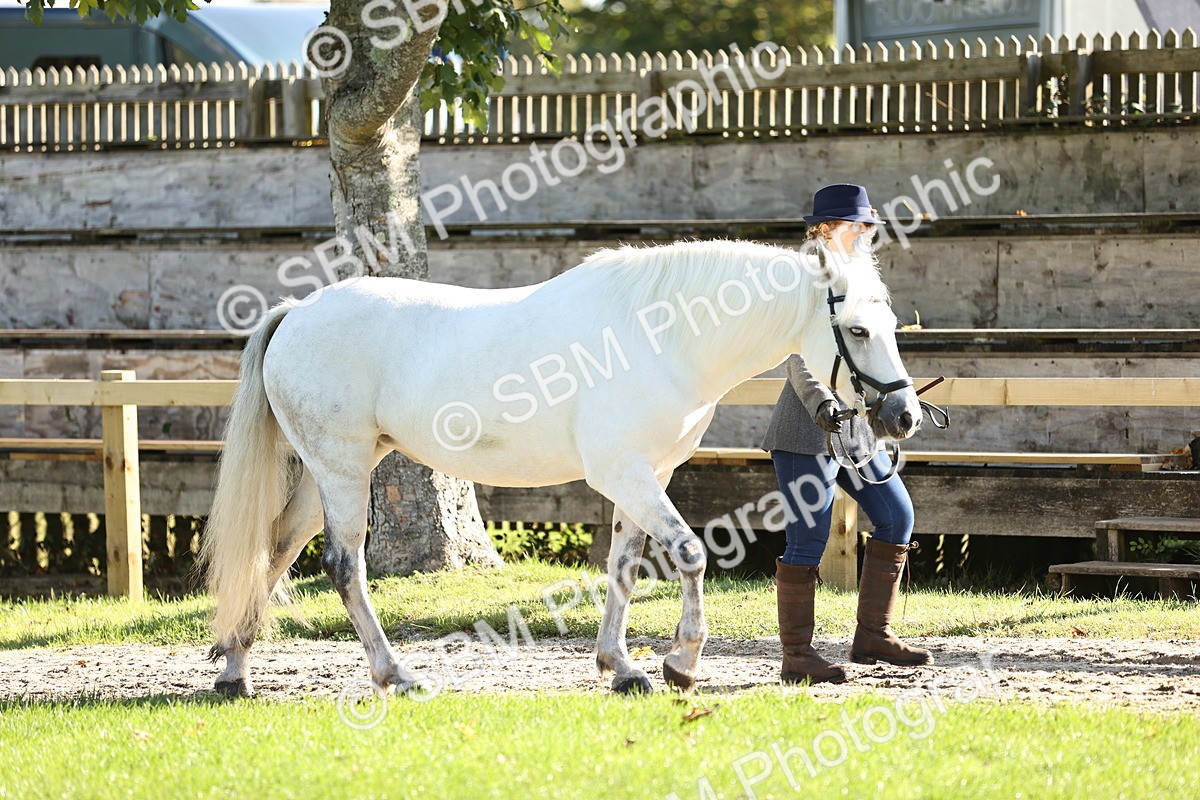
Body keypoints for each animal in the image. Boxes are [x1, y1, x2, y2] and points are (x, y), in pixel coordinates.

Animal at [201, 238, 921, 697]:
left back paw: (235, 671)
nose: (904, 415)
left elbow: (624, 567)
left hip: (326, 472)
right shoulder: (624, 473)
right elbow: (690, 554)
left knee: (274, 548)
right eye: (857, 330)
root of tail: (298, 312)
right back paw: (394, 675)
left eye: (890, 324)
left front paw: (623, 668)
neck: (662, 335)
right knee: (344, 566)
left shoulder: (646, 475)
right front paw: (681, 664)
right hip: (344, 469)